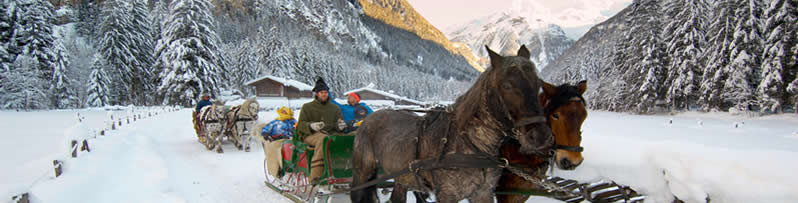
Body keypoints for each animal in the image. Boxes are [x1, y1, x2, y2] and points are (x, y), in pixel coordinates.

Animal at [354, 45, 552, 203]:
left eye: (538, 84)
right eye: (507, 85)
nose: (541, 136)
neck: (472, 146)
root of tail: (368, 118)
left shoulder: (483, 193)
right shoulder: (447, 195)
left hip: (402, 178)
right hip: (363, 173)